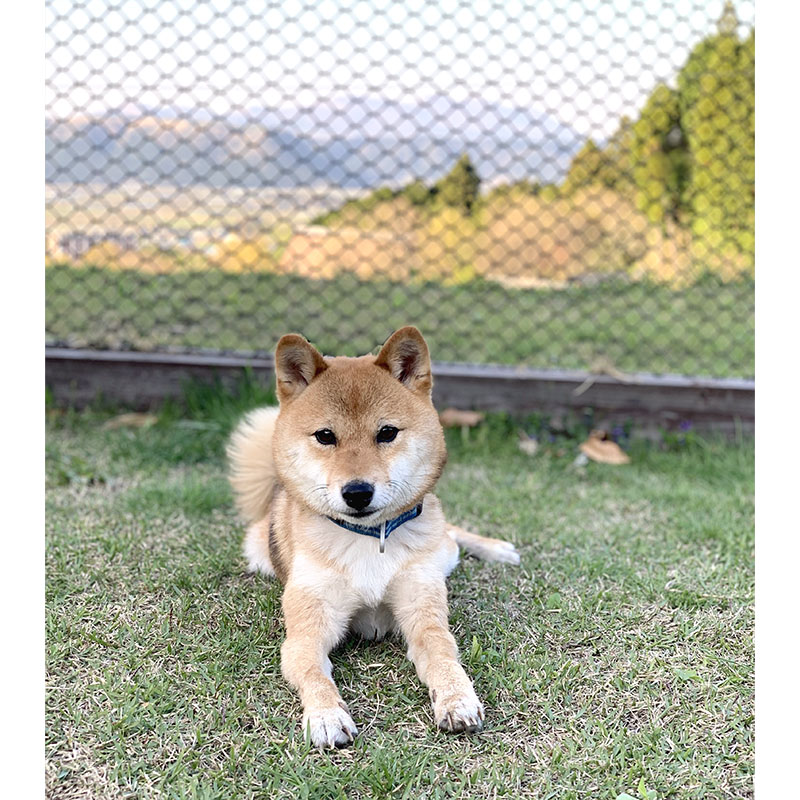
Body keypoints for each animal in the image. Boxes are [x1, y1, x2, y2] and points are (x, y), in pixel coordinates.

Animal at [228, 326, 520, 752]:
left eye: (387, 433)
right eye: (325, 436)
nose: (357, 492)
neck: (368, 538)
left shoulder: (422, 610)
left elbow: (444, 657)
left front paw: (457, 698)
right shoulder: (308, 631)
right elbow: (313, 673)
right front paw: (326, 715)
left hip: (439, 552)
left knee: (450, 533)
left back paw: (498, 549)